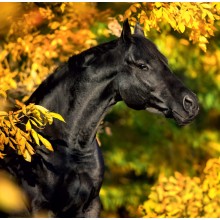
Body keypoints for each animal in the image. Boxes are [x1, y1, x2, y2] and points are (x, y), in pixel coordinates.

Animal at [0, 20, 199, 217]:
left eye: (166, 62)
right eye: (143, 66)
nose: (191, 104)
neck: (68, 147)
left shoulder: (90, 206)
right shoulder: (41, 208)